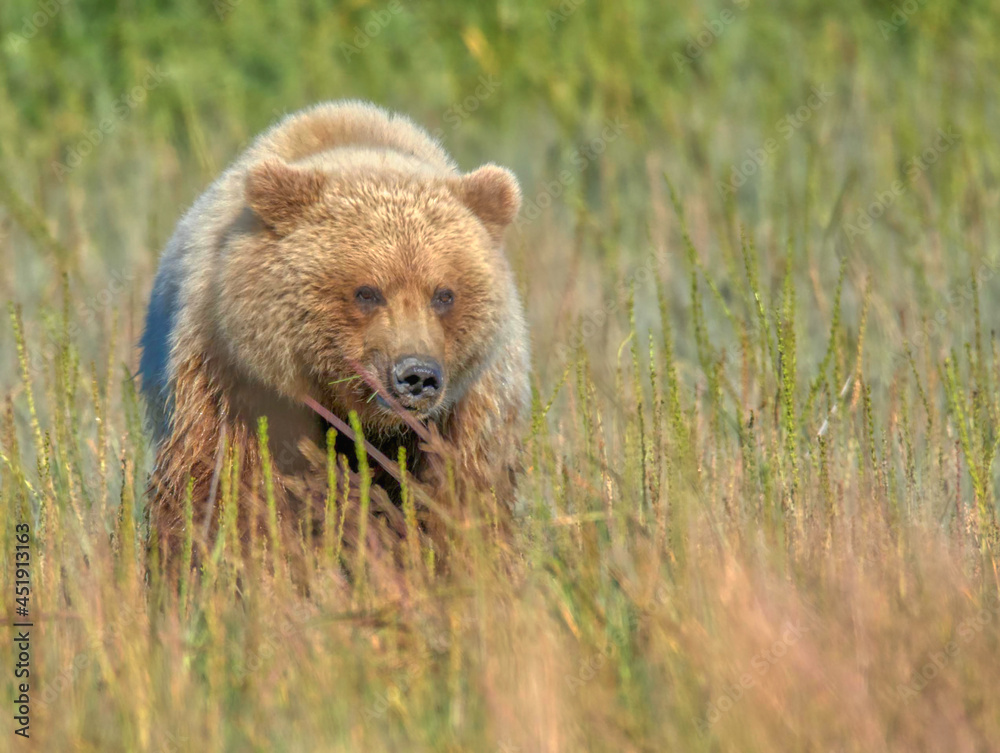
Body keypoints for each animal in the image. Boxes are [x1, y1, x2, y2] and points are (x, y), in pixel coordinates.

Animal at [139, 100, 529, 563]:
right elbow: (225, 490)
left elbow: (459, 498)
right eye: (367, 292)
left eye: (444, 294)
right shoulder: (232, 383)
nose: (416, 375)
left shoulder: (464, 411)